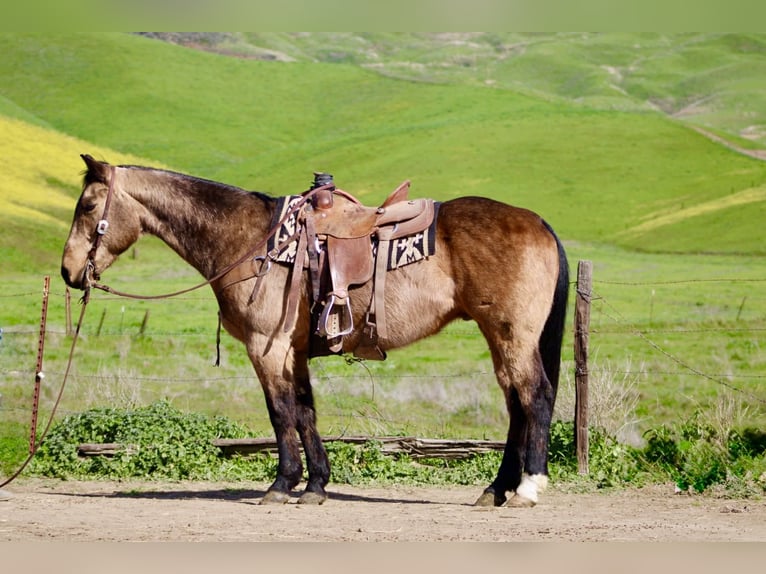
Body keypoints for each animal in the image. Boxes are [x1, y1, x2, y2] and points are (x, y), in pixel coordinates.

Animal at [61, 154, 569, 507]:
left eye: (87, 205)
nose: (68, 271)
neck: (251, 241)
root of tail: (538, 223)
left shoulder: (267, 349)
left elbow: (281, 412)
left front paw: (282, 483)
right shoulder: (294, 351)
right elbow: (305, 412)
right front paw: (315, 484)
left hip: (511, 334)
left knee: (535, 396)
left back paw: (527, 487)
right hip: (501, 337)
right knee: (516, 403)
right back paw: (496, 490)